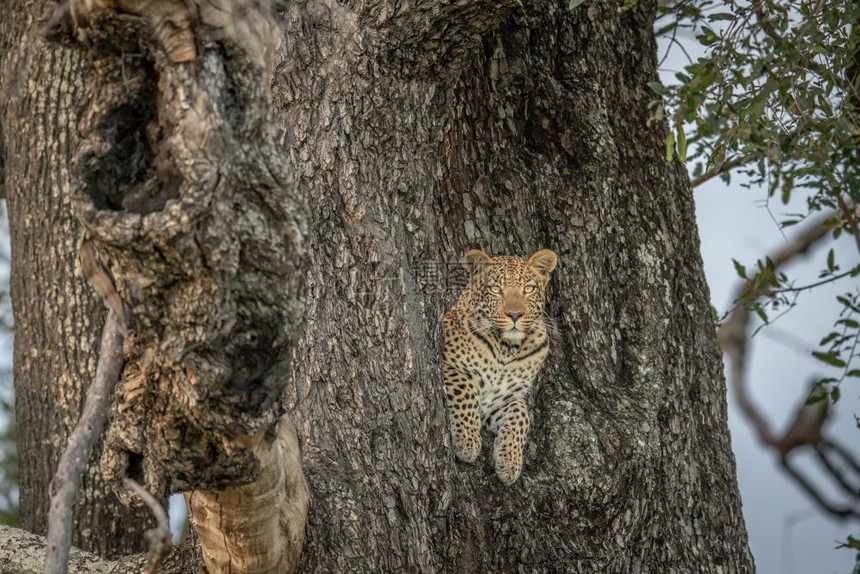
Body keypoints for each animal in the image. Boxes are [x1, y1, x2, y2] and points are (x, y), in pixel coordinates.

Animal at [444, 251, 556, 486]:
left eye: (528, 289)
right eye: (496, 289)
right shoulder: (447, 364)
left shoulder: (503, 399)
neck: (507, 350)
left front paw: (509, 461)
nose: (515, 315)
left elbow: (522, 416)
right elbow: (466, 389)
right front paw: (467, 442)